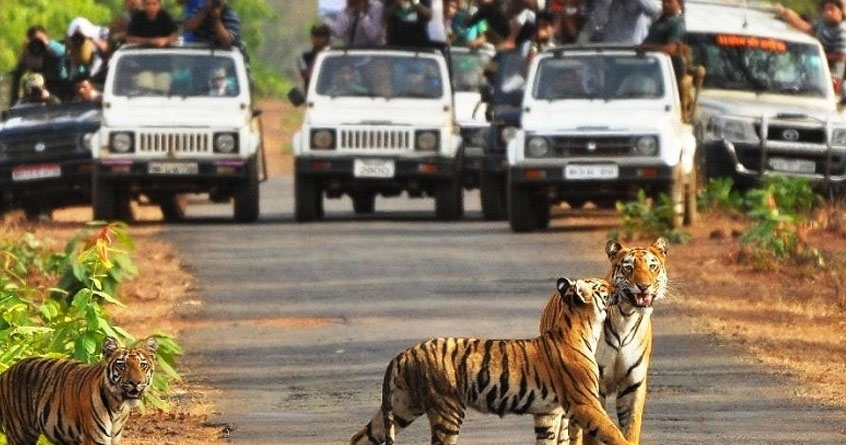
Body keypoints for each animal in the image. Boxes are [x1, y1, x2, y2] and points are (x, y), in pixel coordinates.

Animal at [0, 336, 158, 445]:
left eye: (142, 365)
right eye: (122, 365)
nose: (135, 383)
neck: (118, 406)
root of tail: (7, 371)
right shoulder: (95, 439)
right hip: (20, 433)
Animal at [350, 277, 635, 445]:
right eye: (601, 287)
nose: (617, 287)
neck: (583, 326)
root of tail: (403, 354)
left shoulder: (547, 412)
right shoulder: (585, 402)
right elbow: (613, 433)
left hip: (402, 406)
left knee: (361, 437)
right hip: (446, 409)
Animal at [533, 237, 669, 445]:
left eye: (652, 266)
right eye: (628, 267)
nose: (644, 286)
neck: (626, 318)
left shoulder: (633, 385)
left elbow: (630, 429)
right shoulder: (592, 388)